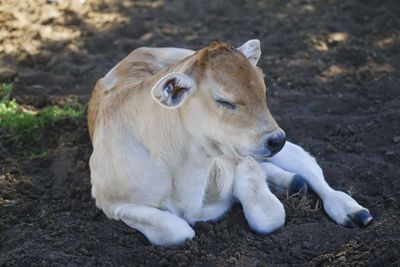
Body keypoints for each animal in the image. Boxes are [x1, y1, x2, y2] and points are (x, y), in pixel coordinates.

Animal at [87, 39, 372, 247]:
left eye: (263, 91)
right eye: (224, 101)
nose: (276, 139)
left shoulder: (239, 156)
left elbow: (269, 214)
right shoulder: (110, 201)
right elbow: (177, 231)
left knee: (306, 163)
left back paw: (351, 210)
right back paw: (291, 182)